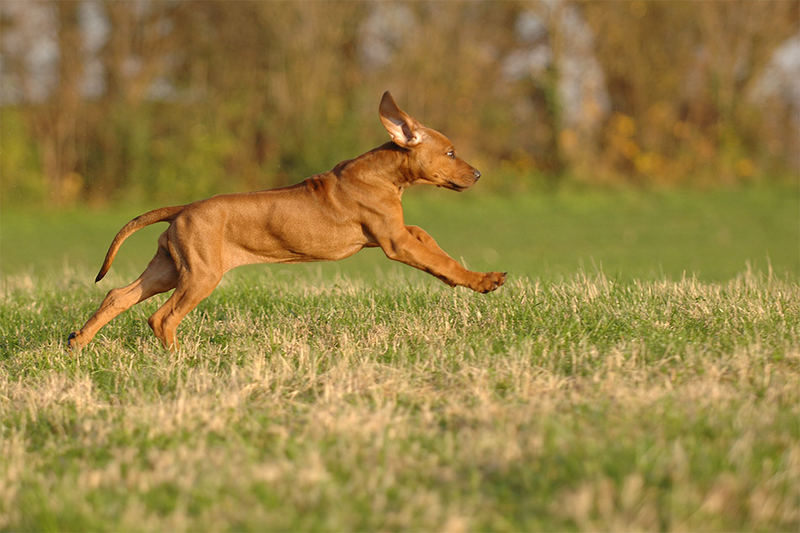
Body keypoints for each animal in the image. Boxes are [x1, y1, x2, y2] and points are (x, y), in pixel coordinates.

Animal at [69, 91, 506, 350]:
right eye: (450, 153)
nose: (478, 174)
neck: (383, 173)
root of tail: (182, 208)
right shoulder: (394, 241)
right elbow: (434, 258)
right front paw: (484, 281)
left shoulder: (398, 231)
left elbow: (431, 245)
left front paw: (469, 277)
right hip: (200, 275)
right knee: (162, 317)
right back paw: (179, 362)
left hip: (169, 268)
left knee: (118, 295)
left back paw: (77, 342)